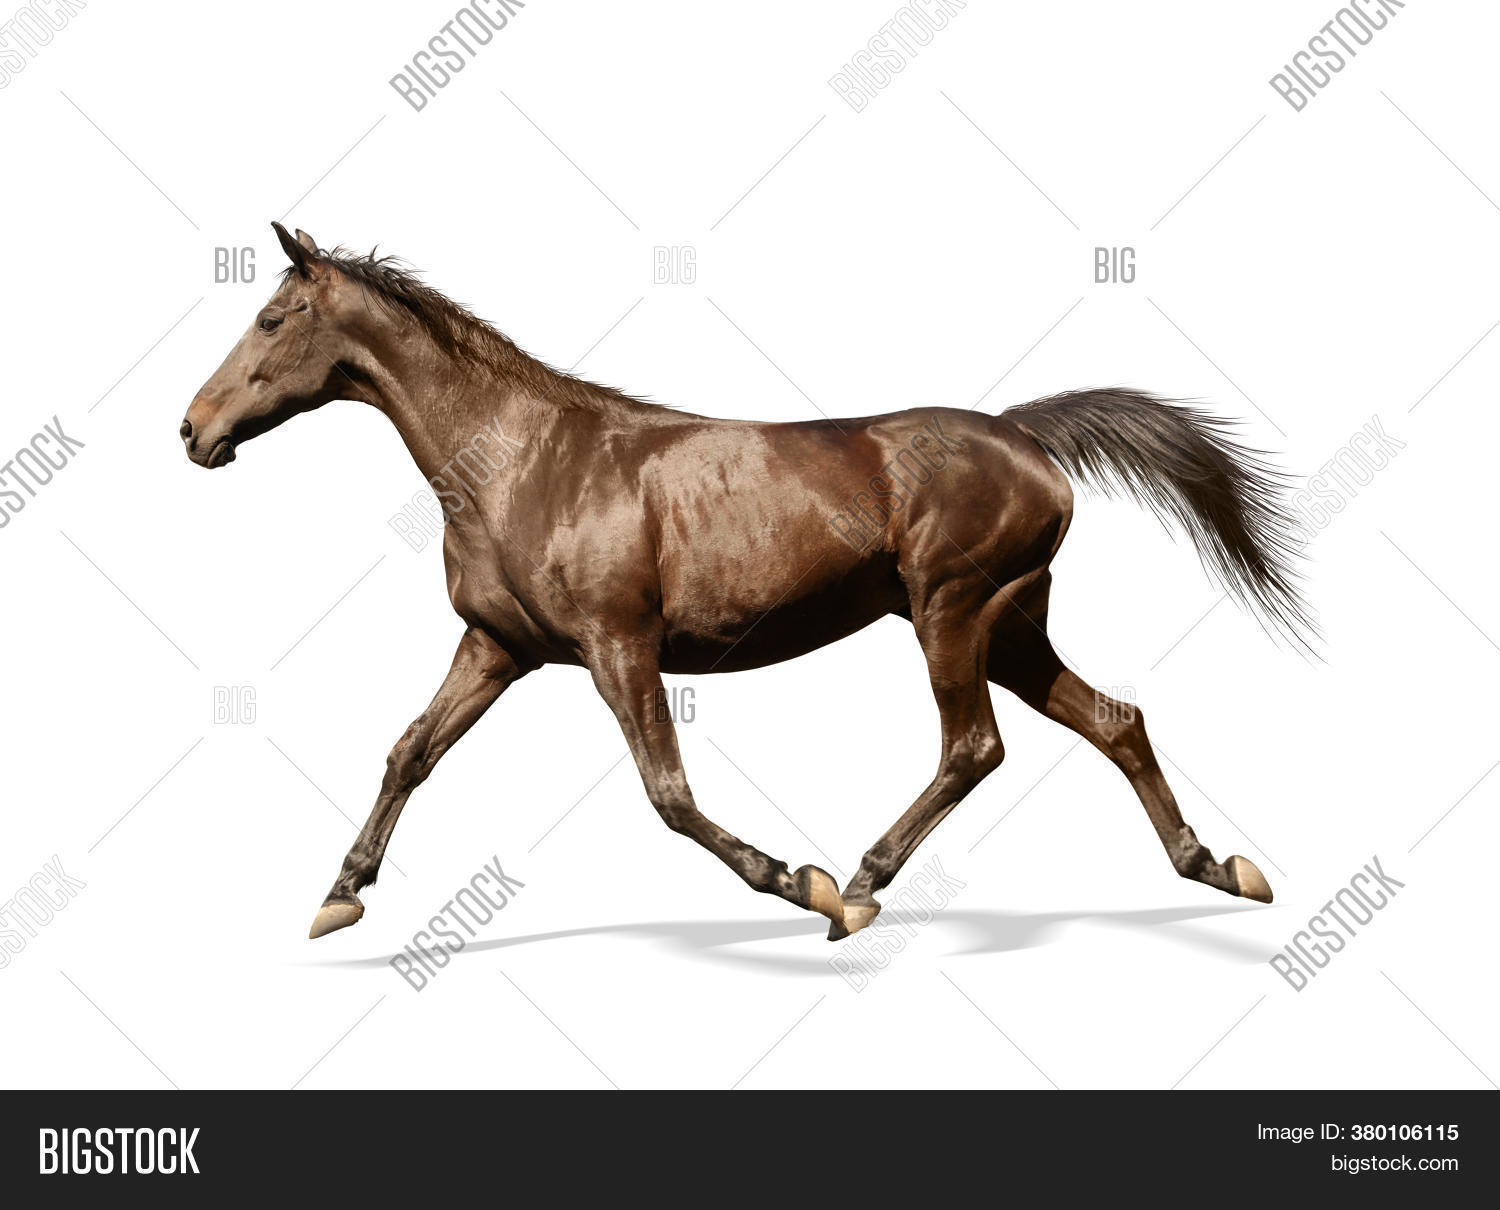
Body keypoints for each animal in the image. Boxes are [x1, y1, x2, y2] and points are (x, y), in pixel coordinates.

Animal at [182, 222, 1312, 942]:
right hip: (1010, 624)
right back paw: (1220, 867)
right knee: (1115, 719)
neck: (522, 459)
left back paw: (864, 880)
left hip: (952, 610)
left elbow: (669, 794)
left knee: (976, 745)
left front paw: (804, 887)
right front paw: (340, 896)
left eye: (272, 320)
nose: (192, 429)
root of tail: (1024, 435)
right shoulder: (497, 647)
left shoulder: (618, 644)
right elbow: (410, 751)